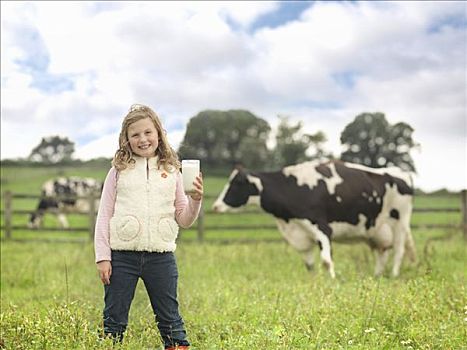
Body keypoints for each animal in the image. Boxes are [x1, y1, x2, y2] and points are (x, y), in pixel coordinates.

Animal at [212, 160, 416, 278]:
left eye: (236, 183)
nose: (215, 206)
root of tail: (401, 172)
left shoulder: (322, 228)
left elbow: (326, 260)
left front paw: (332, 280)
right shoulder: (301, 233)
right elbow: (309, 264)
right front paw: (313, 281)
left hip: (400, 222)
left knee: (398, 251)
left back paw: (394, 275)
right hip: (378, 230)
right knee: (383, 252)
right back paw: (377, 276)